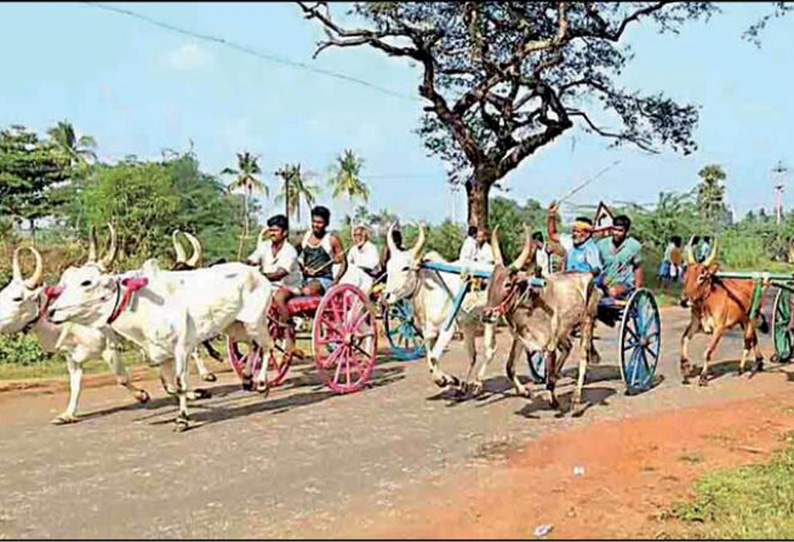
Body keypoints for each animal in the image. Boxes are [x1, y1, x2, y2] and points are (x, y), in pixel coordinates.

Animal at [0, 245, 148, 424]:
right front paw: (67, 415)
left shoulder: (109, 346)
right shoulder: (71, 357)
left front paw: (142, 395)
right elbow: (75, 385)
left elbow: (122, 378)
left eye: (17, 298)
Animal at [48, 251, 276, 434]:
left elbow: (180, 383)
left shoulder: (181, 349)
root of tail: (257, 273)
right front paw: (197, 394)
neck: (143, 306)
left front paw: (182, 419)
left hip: (255, 322)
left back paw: (261, 382)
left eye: (86, 282)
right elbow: (170, 387)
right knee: (253, 345)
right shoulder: (161, 355)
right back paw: (247, 378)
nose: (51, 311)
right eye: (65, 282)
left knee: (268, 346)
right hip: (234, 327)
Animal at [378, 223, 502, 398]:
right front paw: (451, 380)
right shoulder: (428, 333)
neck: (430, 291)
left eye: (405, 268)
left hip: (492, 319)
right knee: (472, 355)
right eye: (388, 267)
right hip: (468, 323)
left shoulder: (447, 330)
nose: (385, 296)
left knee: (490, 351)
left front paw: (443, 380)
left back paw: (477, 384)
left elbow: (434, 359)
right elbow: (431, 359)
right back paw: (463, 386)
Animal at [482, 227, 600, 414]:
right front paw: (524, 391)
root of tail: (589, 277)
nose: (487, 315)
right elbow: (510, 368)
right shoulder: (520, 338)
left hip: (587, 321)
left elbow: (550, 382)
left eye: (508, 284)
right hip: (564, 330)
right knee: (567, 348)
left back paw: (575, 400)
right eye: (489, 282)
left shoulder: (549, 345)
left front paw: (555, 402)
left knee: (583, 358)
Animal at [676, 240, 764, 388]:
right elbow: (683, 339)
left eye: (701, 277)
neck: (705, 305)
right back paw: (758, 362)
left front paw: (703, 377)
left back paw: (742, 368)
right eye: (685, 275)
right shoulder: (695, 325)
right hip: (744, 320)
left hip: (752, 317)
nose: (684, 300)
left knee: (748, 341)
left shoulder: (719, 329)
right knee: (753, 339)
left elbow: (708, 352)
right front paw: (685, 369)